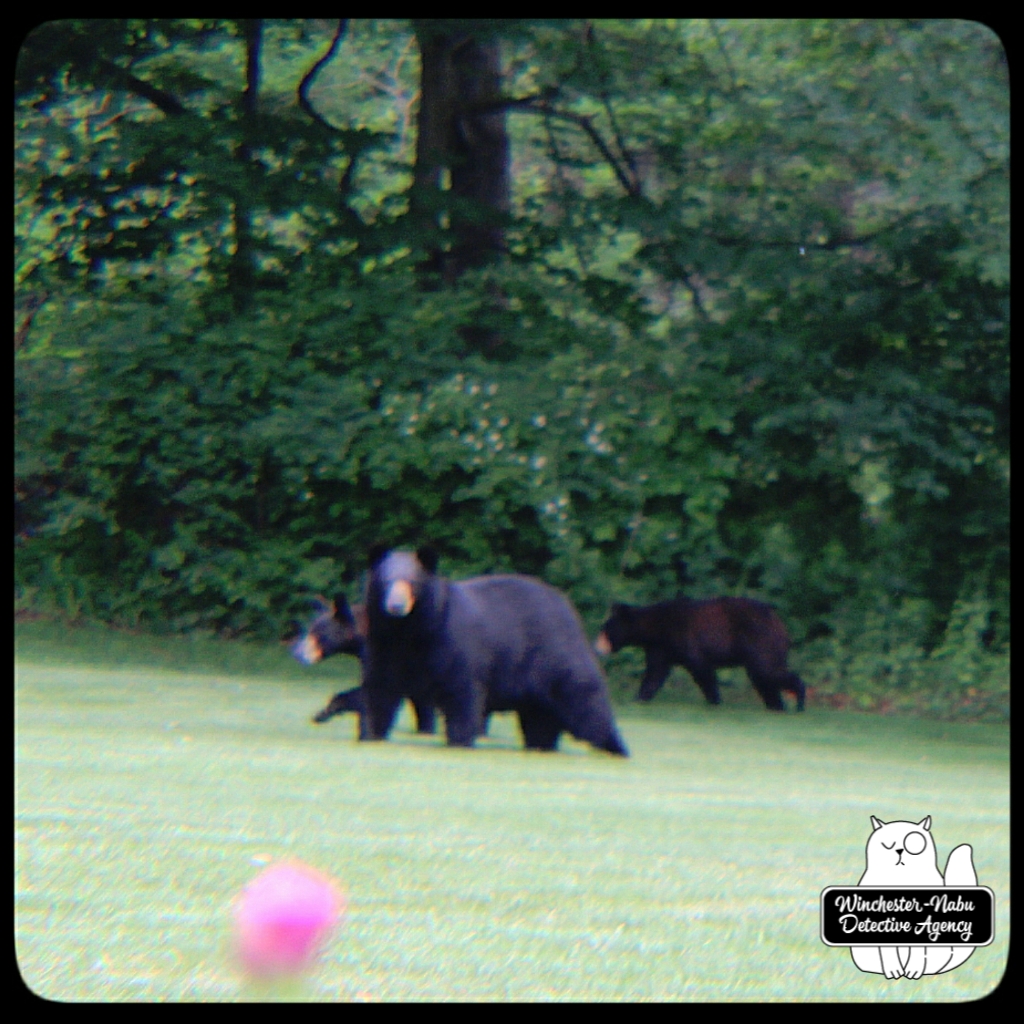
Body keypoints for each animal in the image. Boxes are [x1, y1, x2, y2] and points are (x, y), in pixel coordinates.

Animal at [360, 545, 628, 756]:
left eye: (412, 582)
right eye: (385, 581)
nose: (396, 606)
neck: (411, 631)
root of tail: (571, 612)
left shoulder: (452, 646)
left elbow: (462, 692)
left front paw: (459, 741)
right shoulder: (385, 648)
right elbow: (378, 691)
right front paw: (370, 733)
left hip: (558, 661)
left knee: (586, 704)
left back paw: (614, 747)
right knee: (541, 719)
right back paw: (540, 745)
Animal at [595, 596, 805, 712]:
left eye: (605, 629)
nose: (597, 648)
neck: (655, 628)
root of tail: (779, 623)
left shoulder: (684, 639)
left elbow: (701, 669)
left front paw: (714, 700)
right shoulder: (661, 648)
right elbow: (655, 674)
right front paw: (637, 698)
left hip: (760, 641)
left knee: (767, 671)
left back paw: (798, 702)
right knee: (763, 677)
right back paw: (775, 705)